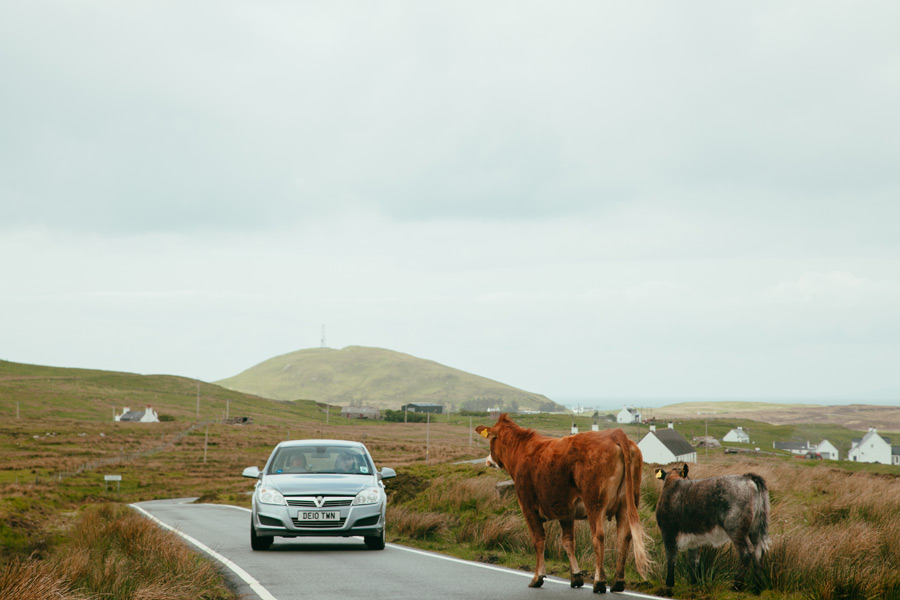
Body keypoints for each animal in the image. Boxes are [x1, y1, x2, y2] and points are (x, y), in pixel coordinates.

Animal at [474, 414, 652, 592]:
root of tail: (614, 433)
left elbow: (538, 540)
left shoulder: (528, 508)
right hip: (627, 503)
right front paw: (576, 577)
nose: (487, 460)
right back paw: (617, 582)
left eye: (492, 440)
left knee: (599, 536)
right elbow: (568, 542)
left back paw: (599, 581)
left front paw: (537, 577)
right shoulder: (565, 510)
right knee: (624, 537)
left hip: (595, 503)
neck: (521, 451)